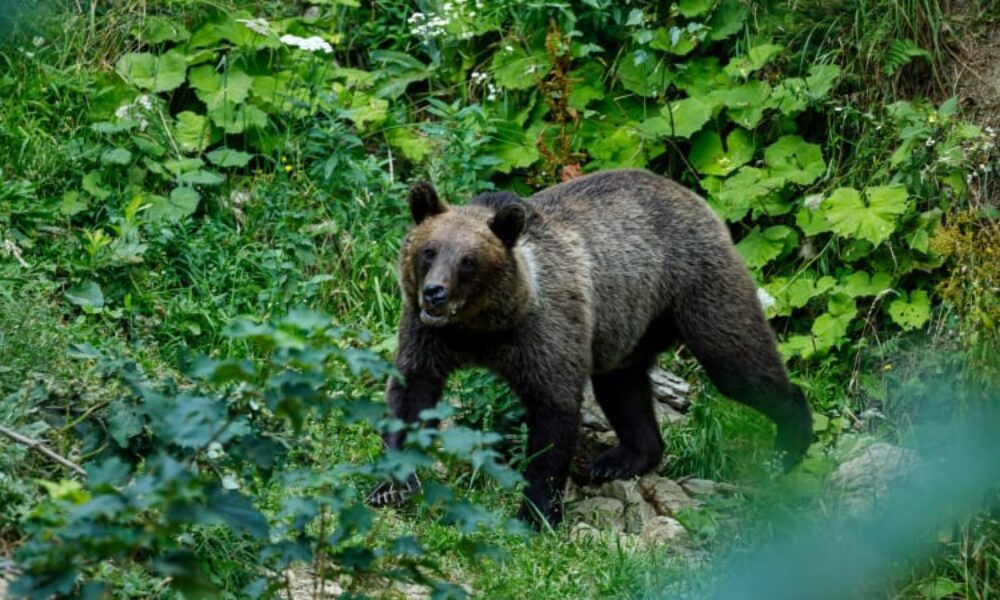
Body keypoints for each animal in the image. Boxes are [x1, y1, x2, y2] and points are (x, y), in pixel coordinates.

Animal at [368, 168, 812, 524]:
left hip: (697, 289)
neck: (482, 327)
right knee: (622, 386)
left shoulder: (544, 333)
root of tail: (690, 194)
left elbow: (553, 416)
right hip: (629, 324)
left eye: (469, 262)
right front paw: (391, 486)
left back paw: (788, 445)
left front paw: (536, 513)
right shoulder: (429, 336)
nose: (435, 294)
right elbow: (410, 394)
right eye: (429, 251)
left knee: (737, 363)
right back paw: (622, 459)